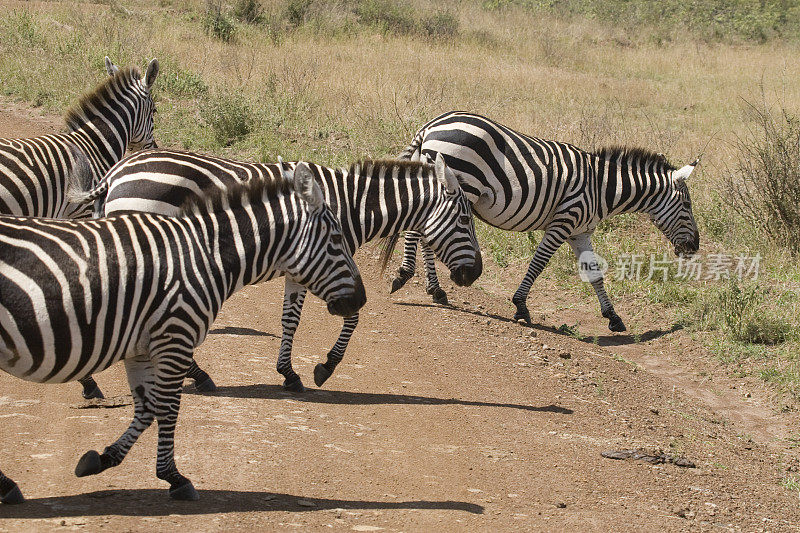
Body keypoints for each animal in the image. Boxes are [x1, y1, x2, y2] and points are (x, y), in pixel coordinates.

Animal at [0, 162, 366, 502]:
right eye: (337, 240)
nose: (361, 299)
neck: (204, 256)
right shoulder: (175, 336)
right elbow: (167, 407)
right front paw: (174, 477)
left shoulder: (141, 348)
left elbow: (147, 408)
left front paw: (104, 458)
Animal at [69, 148, 482, 392]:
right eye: (465, 219)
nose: (475, 274)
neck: (348, 204)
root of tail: (119, 170)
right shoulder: (322, 263)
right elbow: (351, 317)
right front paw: (325, 366)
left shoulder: (304, 268)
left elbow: (290, 320)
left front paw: (288, 372)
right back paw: (193, 375)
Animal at [390, 110, 696, 330]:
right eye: (687, 205)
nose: (694, 247)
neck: (601, 188)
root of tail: (431, 125)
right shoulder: (564, 221)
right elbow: (538, 264)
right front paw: (520, 305)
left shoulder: (580, 232)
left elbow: (595, 273)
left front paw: (613, 317)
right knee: (419, 231)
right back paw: (406, 275)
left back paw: (436, 290)